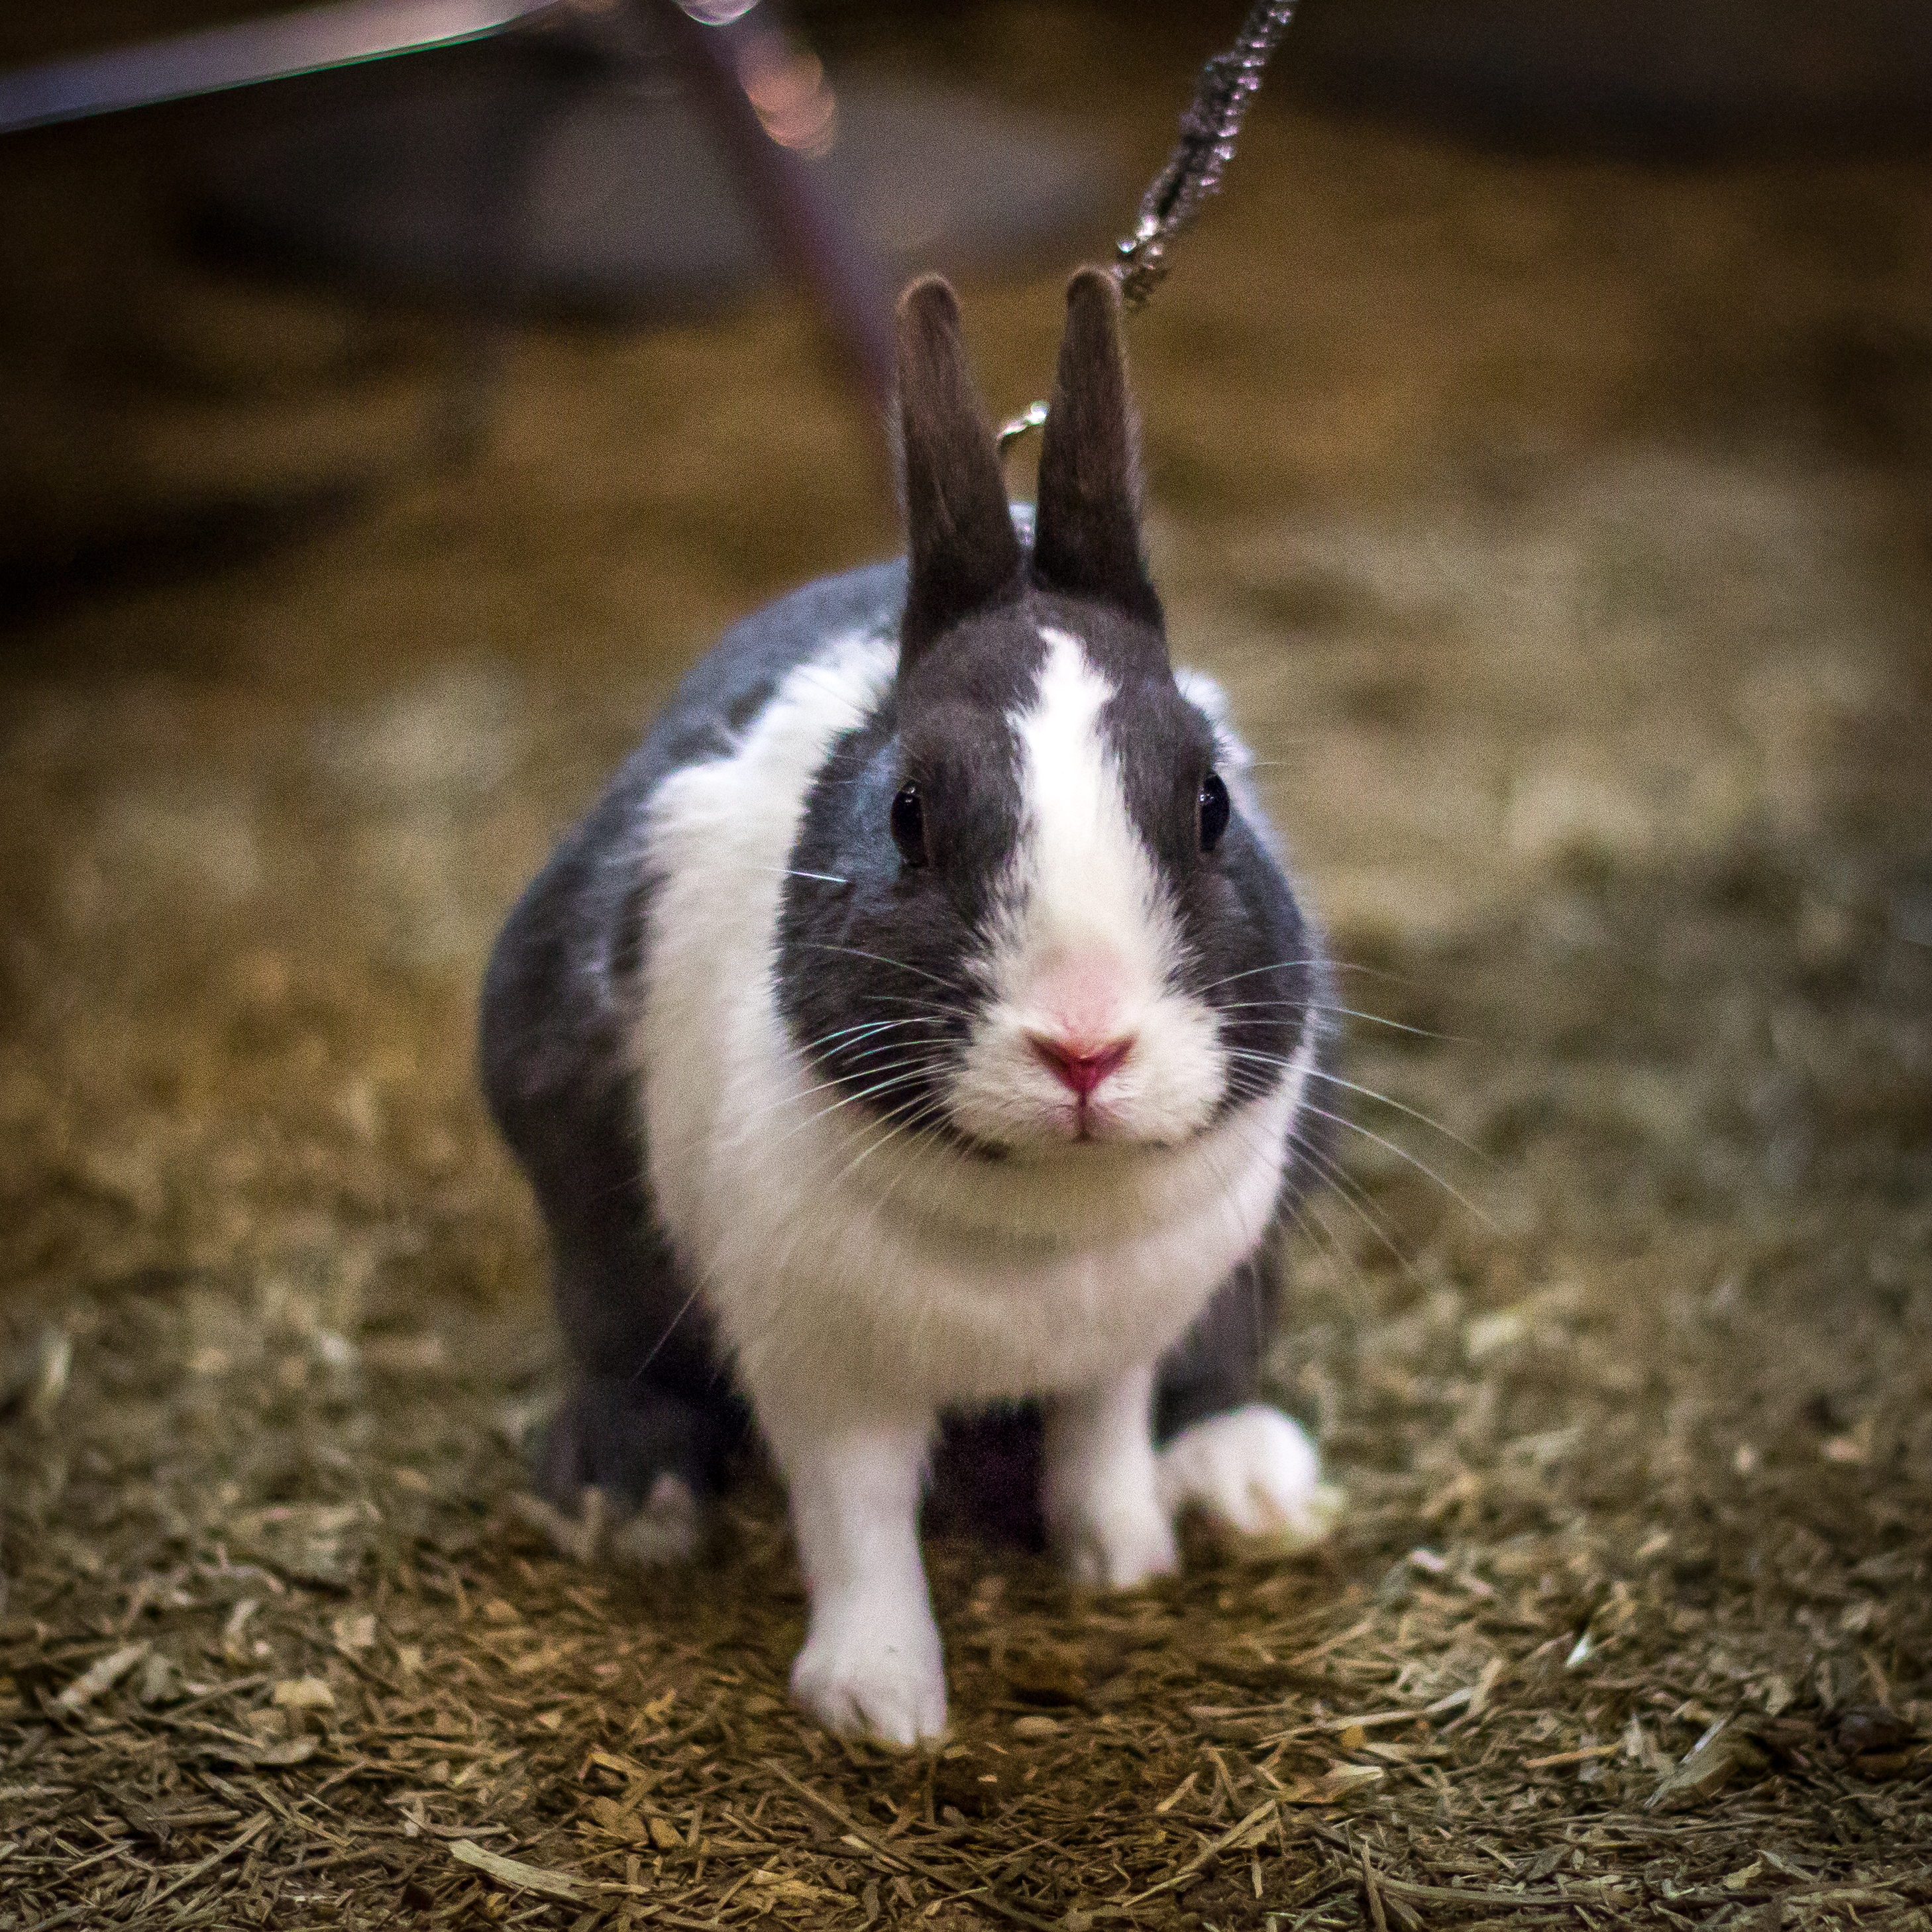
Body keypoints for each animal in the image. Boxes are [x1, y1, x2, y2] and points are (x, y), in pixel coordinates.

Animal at [480, 267, 1342, 1746]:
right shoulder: (824, 1370)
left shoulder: (1126, 1335)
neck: (1041, 1224)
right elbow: (860, 1522)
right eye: (907, 816)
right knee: (614, 1333)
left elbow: (1103, 1434)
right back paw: (626, 1497)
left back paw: (1243, 1478)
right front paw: (881, 1704)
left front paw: (1121, 1561)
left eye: (1214, 802)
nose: (1085, 1045)